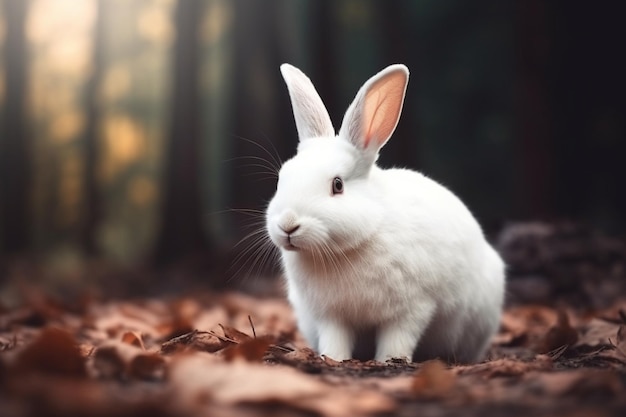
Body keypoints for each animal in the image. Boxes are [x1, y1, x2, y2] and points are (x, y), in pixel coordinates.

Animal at [266, 63, 504, 362]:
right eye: (281, 179)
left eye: (337, 185)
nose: (288, 224)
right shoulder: (331, 315)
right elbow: (335, 337)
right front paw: (333, 358)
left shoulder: (411, 308)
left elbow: (398, 338)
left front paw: (390, 360)